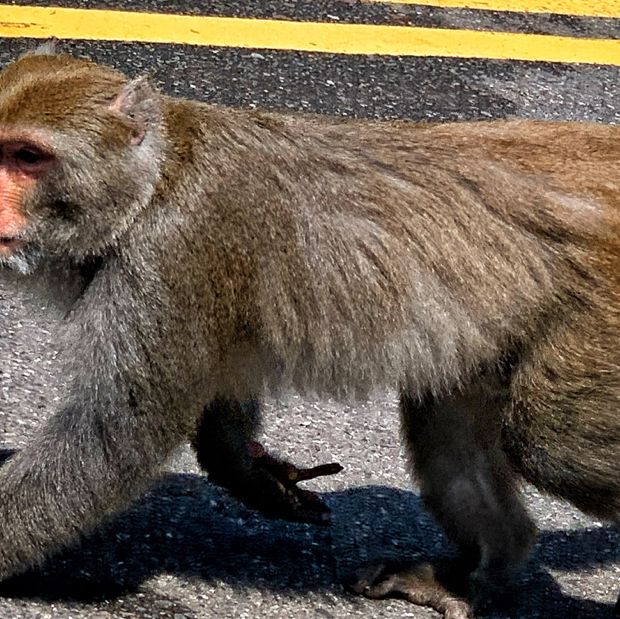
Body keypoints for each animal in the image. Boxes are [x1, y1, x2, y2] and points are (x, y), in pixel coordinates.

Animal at [0, 41, 616, 616]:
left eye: (27, 157)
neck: (154, 180)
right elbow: (221, 376)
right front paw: (249, 472)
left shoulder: (171, 252)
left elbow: (114, 437)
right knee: (446, 419)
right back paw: (476, 572)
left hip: (597, 318)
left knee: (549, 443)